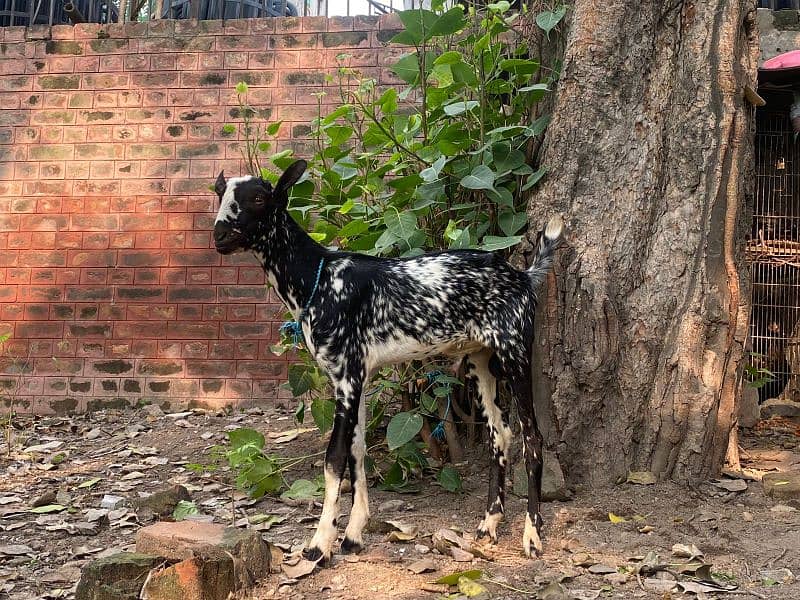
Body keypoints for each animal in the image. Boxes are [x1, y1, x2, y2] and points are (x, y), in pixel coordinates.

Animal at [212, 159, 564, 564]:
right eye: (219, 194)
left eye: (258, 197)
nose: (220, 235)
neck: (319, 276)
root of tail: (522, 275)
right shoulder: (356, 379)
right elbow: (357, 450)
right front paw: (353, 534)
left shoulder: (347, 378)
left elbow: (334, 458)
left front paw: (320, 543)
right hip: (480, 361)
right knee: (499, 434)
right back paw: (490, 522)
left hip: (514, 352)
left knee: (533, 438)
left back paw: (532, 535)